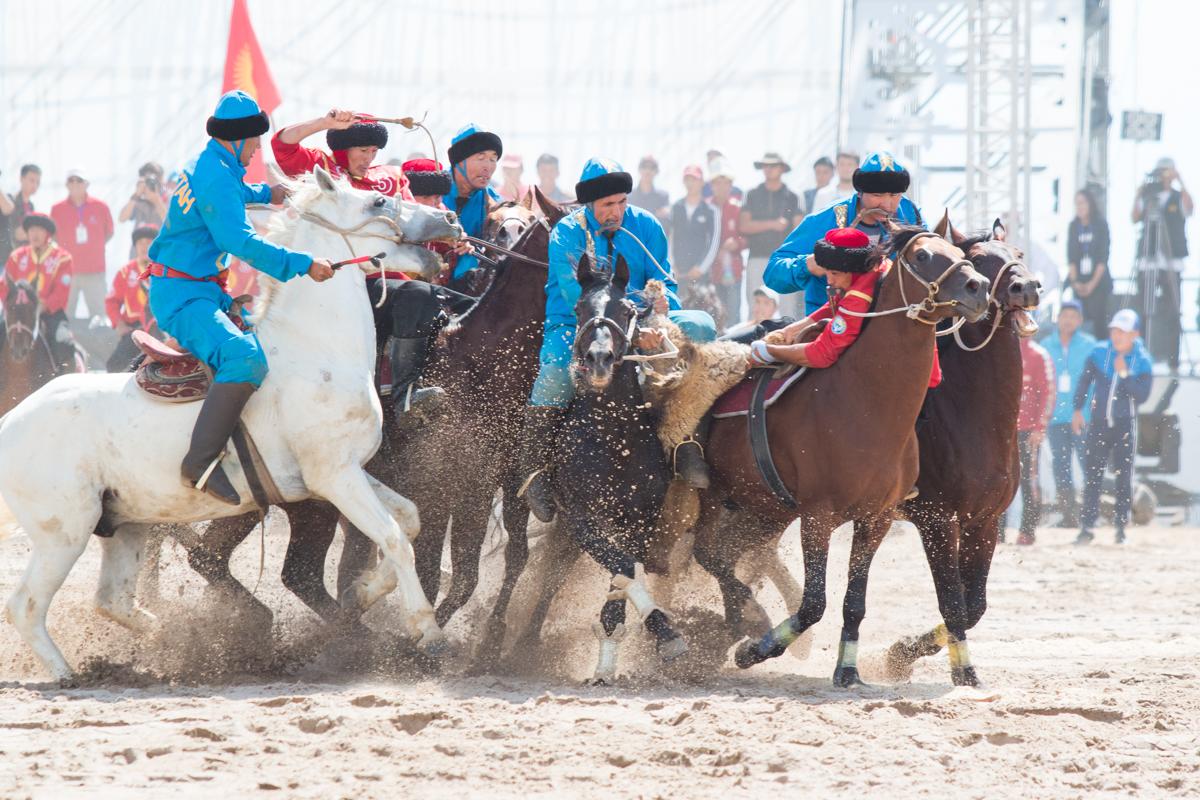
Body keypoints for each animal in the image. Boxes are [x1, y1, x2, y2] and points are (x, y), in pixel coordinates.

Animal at [0, 169, 458, 681]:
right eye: (378, 200)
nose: (449, 219)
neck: (315, 349)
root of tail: (11, 420)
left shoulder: (347, 473)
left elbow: (409, 520)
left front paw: (362, 592)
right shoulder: (334, 477)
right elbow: (395, 538)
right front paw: (429, 632)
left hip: (125, 522)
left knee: (113, 600)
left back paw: (178, 645)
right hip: (63, 534)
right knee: (25, 605)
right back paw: (68, 674)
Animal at [686, 226, 993, 676]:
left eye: (958, 252)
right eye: (922, 256)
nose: (979, 288)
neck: (865, 405)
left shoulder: (876, 520)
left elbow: (854, 602)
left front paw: (847, 670)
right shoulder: (817, 516)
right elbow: (814, 602)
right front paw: (758, 649)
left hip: (760, 510)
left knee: (728, 556)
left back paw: (738, 620)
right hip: (714, 497)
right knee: (708, 553)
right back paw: (748, 620)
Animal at [883, 217, 1041, 690]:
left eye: (1018, 254)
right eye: (978, 259)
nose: (1027, 287)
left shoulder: (984, 521)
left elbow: (974, 604)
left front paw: (902, 652)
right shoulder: (936, 521)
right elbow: (952, 599)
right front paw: (961, 671)